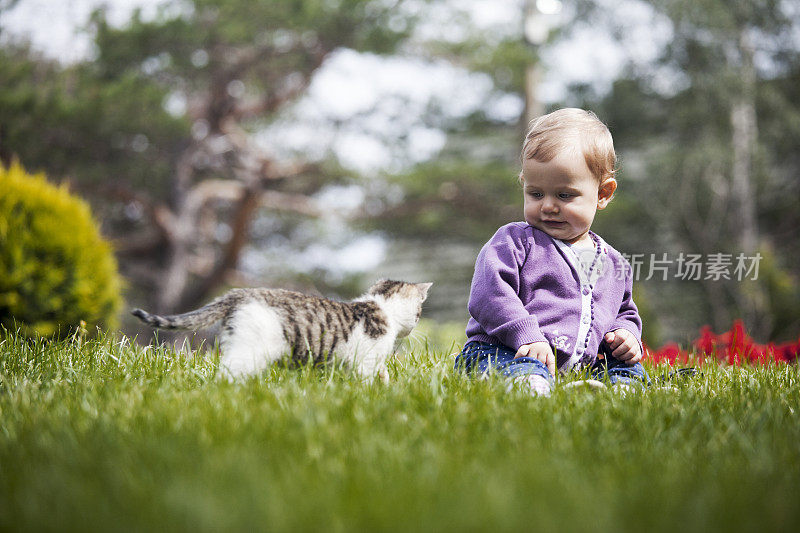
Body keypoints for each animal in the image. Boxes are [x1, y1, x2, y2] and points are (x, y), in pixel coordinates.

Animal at [133, 280, 432, 380]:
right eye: (418, 314)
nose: (416, 325)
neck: (380, 306)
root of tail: (239, 293)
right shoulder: (366, 360)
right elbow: (369, 378)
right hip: (250, 350)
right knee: (227, 374)